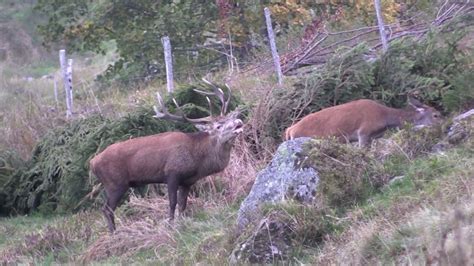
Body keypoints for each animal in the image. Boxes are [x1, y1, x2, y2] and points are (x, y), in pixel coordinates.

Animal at [90, 79, 244, 233]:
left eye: (229, 118)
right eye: (218, 126)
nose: (238, 122)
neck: (197, 160)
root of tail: (92, 163)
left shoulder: (187, 182)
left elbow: (182, 204)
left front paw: (182, 223)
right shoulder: (172, 174)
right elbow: (172, 202)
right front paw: (170, 225)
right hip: (115, 183)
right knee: (107, 209)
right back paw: (113, 233)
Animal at [284, 96, 442, 145]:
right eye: (436, 115)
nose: (444, 124)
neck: (385, 118)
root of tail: (290, 130)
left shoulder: (372, 137)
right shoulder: (364, 132)